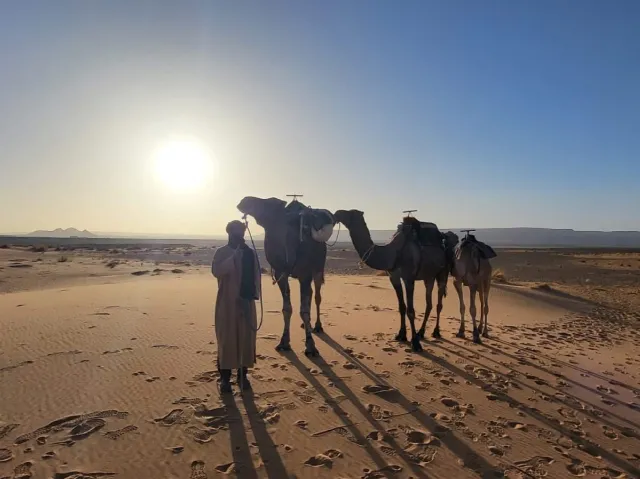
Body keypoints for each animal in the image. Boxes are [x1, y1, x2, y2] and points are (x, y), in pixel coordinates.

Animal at [237, 196, 334, 357]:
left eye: (269, 202)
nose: (244, 201)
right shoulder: (280, 272)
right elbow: (287, 309)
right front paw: (284, 343)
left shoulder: (305, 273)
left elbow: (304, 310)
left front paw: (310, 346)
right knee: (310, 294)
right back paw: (305, 325)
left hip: (318, 269)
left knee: (317, 295)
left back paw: (318, 326)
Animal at [333, 210, 456, 352]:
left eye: (350, 213)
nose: (336, 213)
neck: (393, 252)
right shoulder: (394, 277)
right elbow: (402, 307)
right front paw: (401, 335)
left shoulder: (409, 278)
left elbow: (411, 310)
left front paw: (415, 343)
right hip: (428, 276)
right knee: (429, 303)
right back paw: (421, 332)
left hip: (443, 272)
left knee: (439, 303)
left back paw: (435, 332)